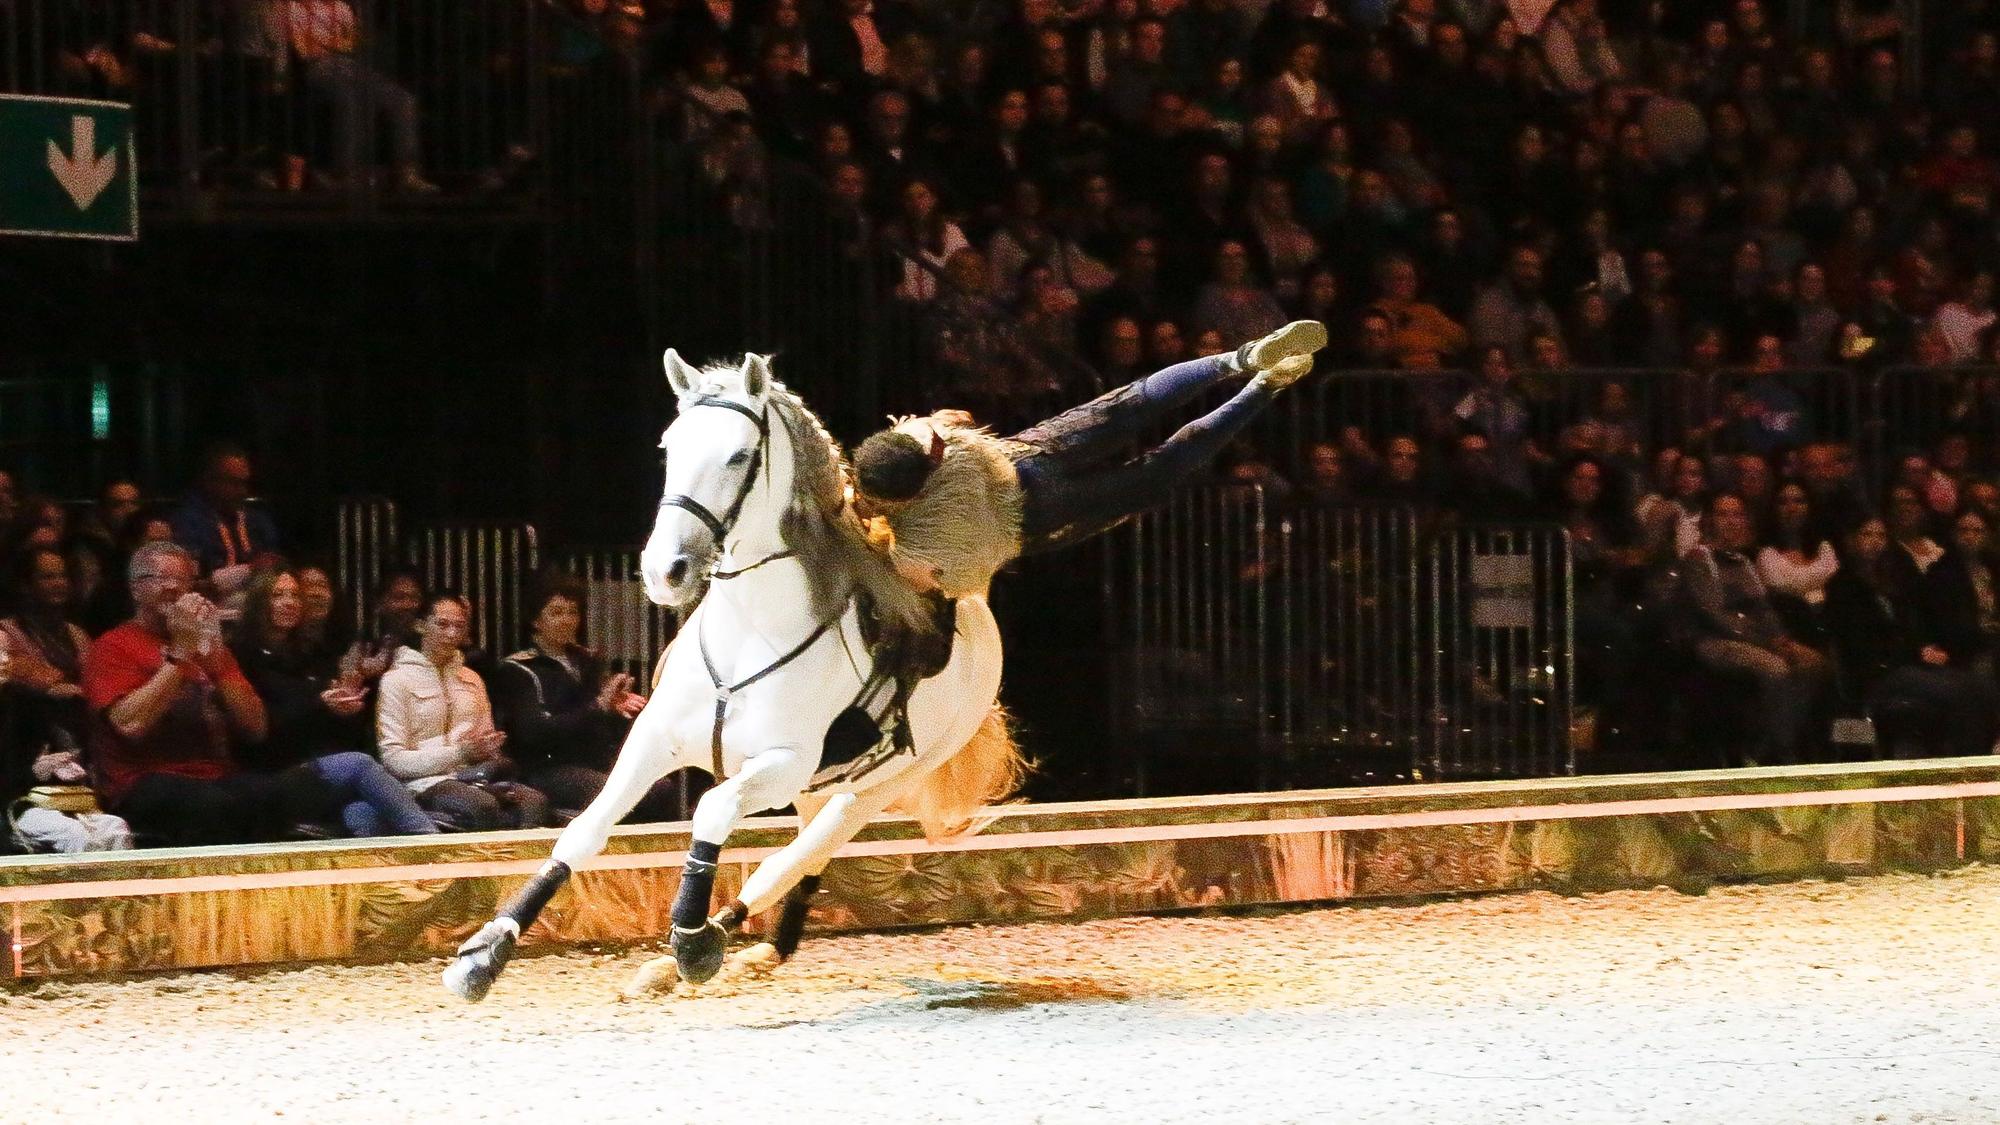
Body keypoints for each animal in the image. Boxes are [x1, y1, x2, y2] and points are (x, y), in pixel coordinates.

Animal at [444, 350, 1024, 1001]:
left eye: (739, 456)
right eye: (669, 448)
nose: (664, 570)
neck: (749, 630)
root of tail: (974, 610)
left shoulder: (779, 763)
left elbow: (712, 810)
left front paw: (693, 940)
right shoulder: (654, 741)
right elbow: (585, 830)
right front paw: (486, 952)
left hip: (871, 786)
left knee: (795, 857)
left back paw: (719, 944)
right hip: (820, 785)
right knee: (802, 854)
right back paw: (720, 954)